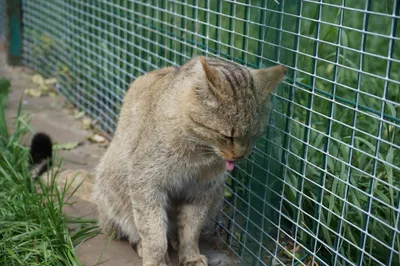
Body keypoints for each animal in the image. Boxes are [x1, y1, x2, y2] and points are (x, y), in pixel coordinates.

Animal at [92, 55, 286, 264]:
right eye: (228, 136)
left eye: (255, 135)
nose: (240, 155)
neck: (198, 153)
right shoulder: (145, 183)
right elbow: (153, 232)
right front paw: (156, 260)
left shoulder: (202, 189)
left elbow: (191, 229)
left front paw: (190, 255)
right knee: (133, 230)